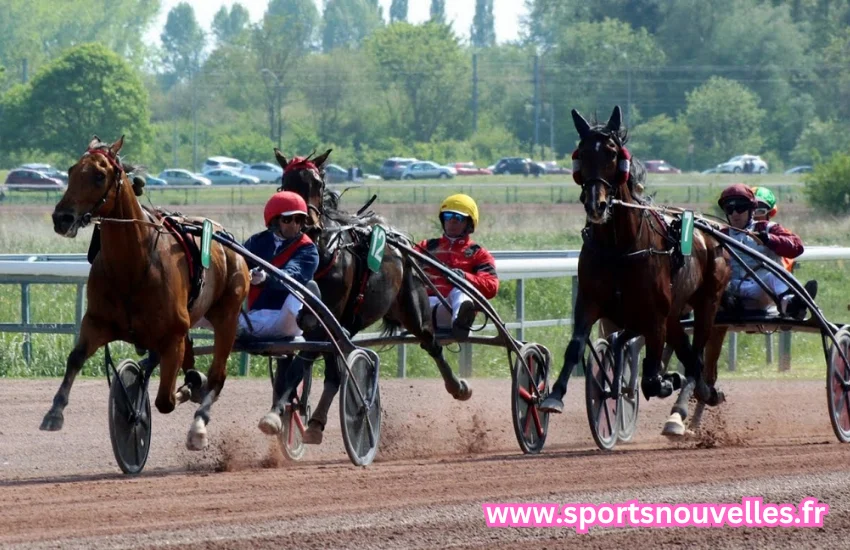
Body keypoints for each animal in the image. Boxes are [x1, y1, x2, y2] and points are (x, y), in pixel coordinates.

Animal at [43, 136, 248, 450]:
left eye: (99, 175)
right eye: (71, 170)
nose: (62, 218)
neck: (133, 267)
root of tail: (226, 238)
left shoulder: (172, 336)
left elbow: (165, 400)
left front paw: (182, 393)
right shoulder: (97, 322)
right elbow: (76, 357)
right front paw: (54, 412)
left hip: (228, 314)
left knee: (217, 376)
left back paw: (199, 424)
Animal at [258, 149, 470, 442]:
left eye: (318, 183)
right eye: (286, 183)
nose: (307, 225)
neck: (324, 252)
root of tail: (397, 242)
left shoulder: (329, 319)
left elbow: (314, 364)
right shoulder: (322, 321)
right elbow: (309, 362)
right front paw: (286, 411)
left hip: (411, 305)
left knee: (431, 341)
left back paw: (457, 385)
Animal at [536, 105, 728, 438]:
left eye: (612, 153)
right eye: (581, 153)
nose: (596, 205)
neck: (619, 249)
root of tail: (712, 229)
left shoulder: (654, 314)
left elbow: (651, 377)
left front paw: (667, 381)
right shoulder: (589, 301)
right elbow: (575, 347)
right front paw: (554, 396)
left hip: (707, 303)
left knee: (697, 356)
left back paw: (689, 401)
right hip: (674, 314)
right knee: (689, 354)